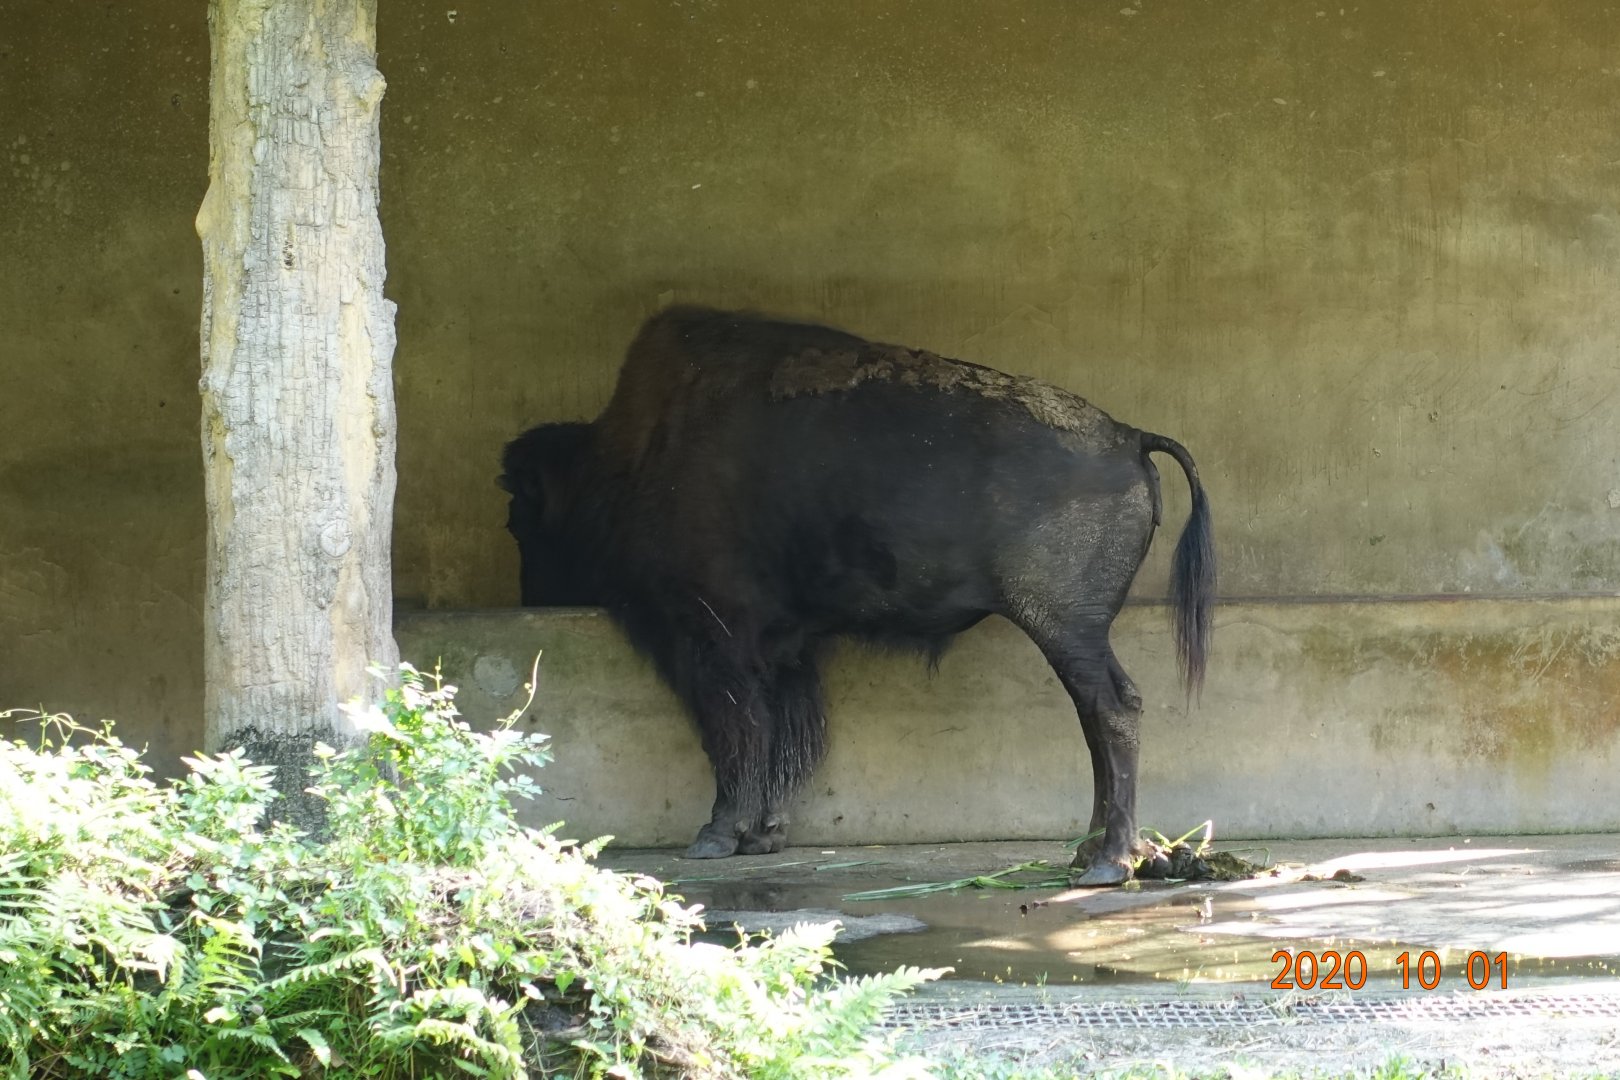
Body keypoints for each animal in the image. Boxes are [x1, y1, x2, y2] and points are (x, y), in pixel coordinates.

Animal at [500, 306, 1214, 885]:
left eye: (518, 514)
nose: (530, 594)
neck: (632, 454)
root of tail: (1129, 437)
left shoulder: (715, 640)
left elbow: (736, 732)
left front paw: (715, 837)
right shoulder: (778, 648)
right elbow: (779, 732)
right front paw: (763, 835)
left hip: (1065, 627)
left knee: (1112, 709)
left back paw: (1106, 861)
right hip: (1071, 631)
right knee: (1100, 717)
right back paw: (1092, 852)